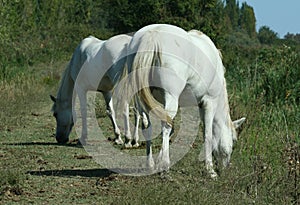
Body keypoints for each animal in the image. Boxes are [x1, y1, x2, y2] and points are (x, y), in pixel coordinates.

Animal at [125, 24, 245, 178]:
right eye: (234, 140)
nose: (225, 168)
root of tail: (152, 36)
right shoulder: (209, 102)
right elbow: (207, 134)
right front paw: (210, 170)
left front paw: (158, 160)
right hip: (171, 96)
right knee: (165, 125)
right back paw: (165, 166)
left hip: (141, 96)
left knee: (147, 125)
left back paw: (150, 164)